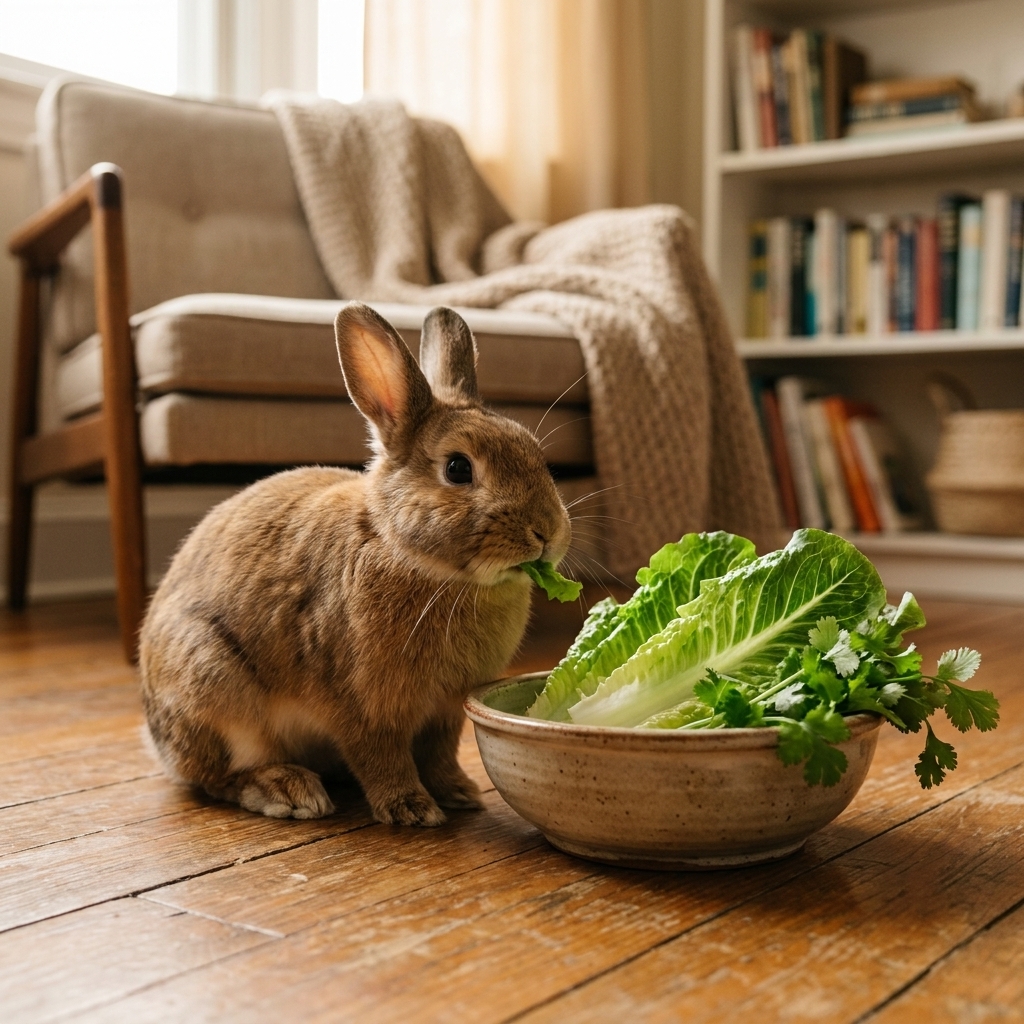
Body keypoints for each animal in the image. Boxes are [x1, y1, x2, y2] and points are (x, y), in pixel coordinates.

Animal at [139, 303, 572, 826]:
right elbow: (380, 756)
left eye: (537, 455)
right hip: (213, 686)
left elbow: (439, 754)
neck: (413, 558)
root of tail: (156, 740)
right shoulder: (361, 706)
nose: (547, 532)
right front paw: (411, 809)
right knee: (216, 776)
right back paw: (287, 790)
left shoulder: (443, 714)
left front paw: (458, 793)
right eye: (458, 469)